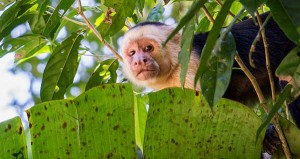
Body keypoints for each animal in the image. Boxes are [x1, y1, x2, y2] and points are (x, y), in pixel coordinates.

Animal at [121, 13, 300, 155]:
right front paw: (268, 136)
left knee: (289, 81)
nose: (139, 61)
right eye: (132, 53)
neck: (175, 67)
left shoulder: (193, 68)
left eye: (148, 48)